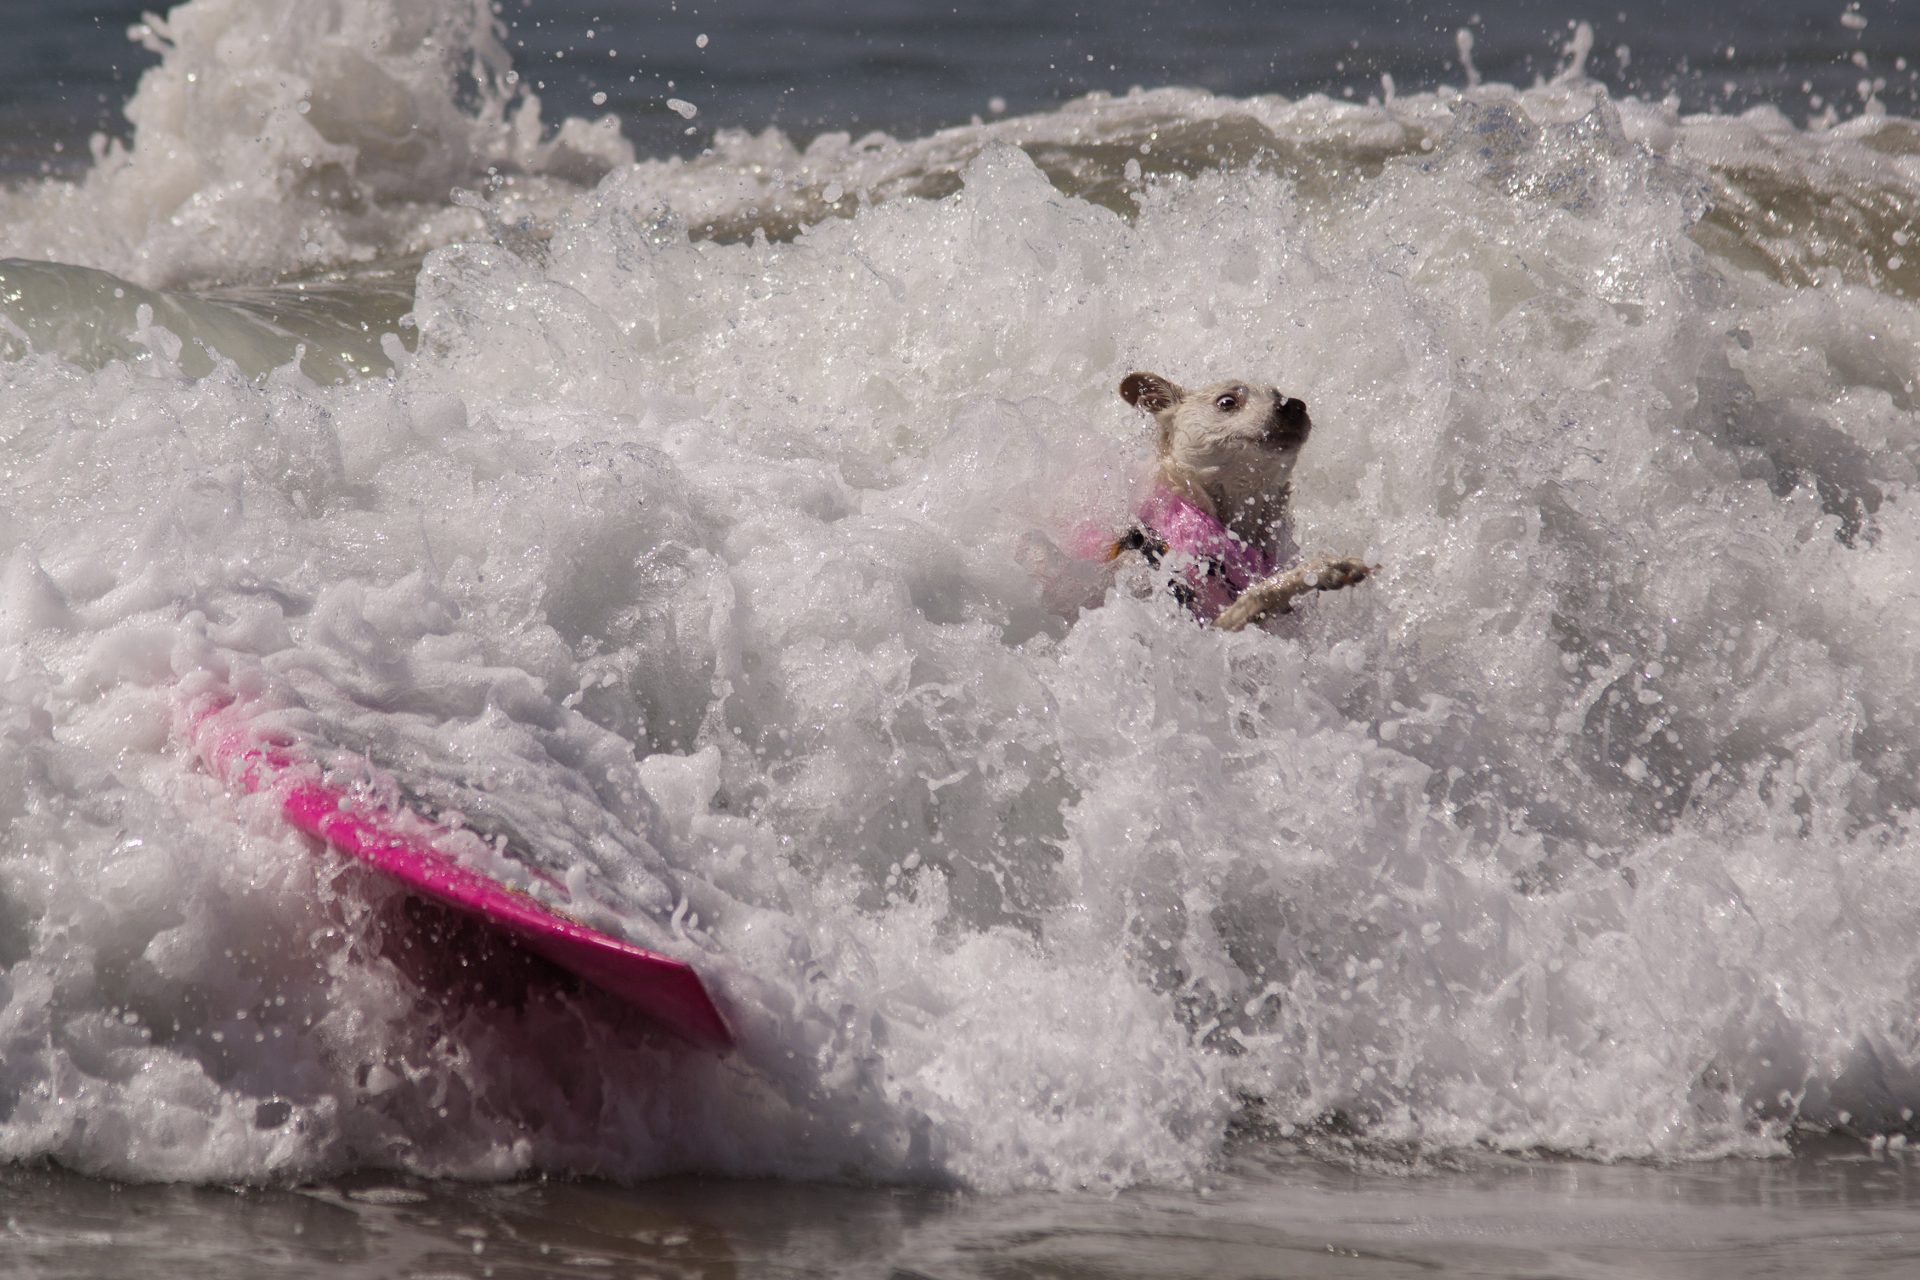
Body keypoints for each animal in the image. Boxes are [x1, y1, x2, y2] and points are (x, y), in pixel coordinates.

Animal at [1105, 370, 1374, 629]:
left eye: (1278, 394)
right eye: (1227, 402)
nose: (1294, 404)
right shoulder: (1208, 623)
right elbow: (1258, 593)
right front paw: (1326, 569)